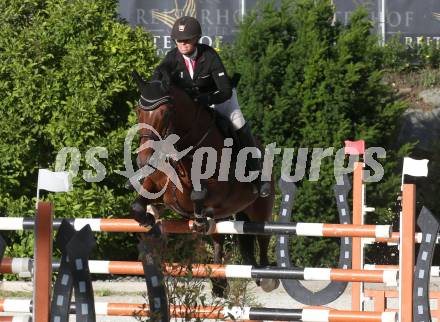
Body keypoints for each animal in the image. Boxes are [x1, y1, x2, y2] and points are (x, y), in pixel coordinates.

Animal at [129, 73, 276, 296]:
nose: (143, 160)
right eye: (139, 111)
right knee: (218, 240)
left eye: (165, 113)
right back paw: (219, 282)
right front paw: (148, 219)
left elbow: (198, 194)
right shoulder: (156, 184)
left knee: (262, 235)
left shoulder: (221, 192)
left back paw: (266, 277)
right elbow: (138, 206)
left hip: (260, 208)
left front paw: (198, 218)